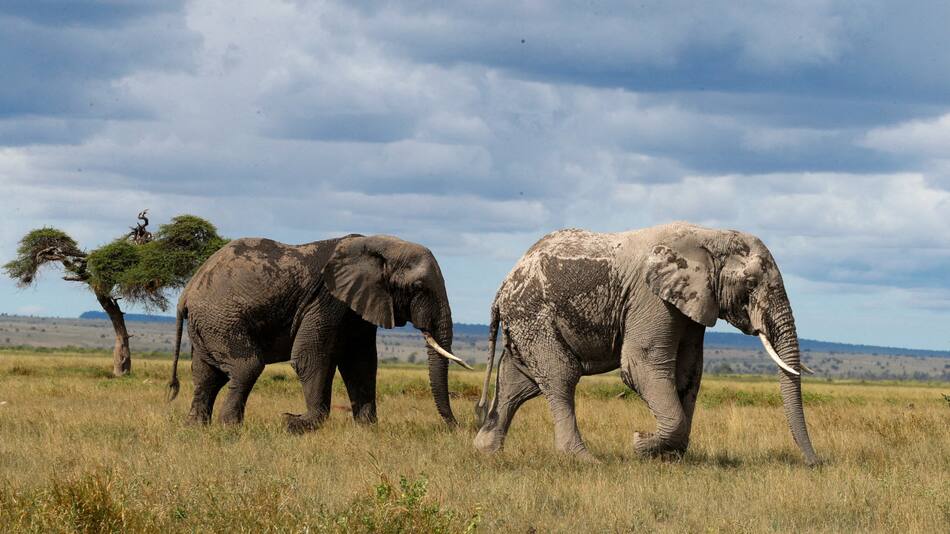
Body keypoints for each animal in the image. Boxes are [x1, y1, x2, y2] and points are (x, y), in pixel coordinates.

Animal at [165, 234, 470, 432]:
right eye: (418, 287)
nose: (456, 427)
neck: (375, 245)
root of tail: (187, 292)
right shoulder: (327, 300)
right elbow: (310, 358)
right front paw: (295, 423)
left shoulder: (358, 306)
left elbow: (361, 363)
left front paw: (367, 429)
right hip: (222, 320)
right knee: (246, 367)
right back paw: (230, 428)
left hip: (208, 325)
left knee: (206, 375)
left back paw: (196, 428)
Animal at [473, 222, 819, 465]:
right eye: (750, 283)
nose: (815, 463)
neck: (710, 236)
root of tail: (504, 284)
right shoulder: (649, 297)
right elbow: (641, 365)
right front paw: (640, 444)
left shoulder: (692, 302)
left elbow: (689, 372)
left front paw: (669, 458)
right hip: (534, 315)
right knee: (560, 376)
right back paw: (584, 460)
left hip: (525, 322)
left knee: (517, 383)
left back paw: (486, 451)